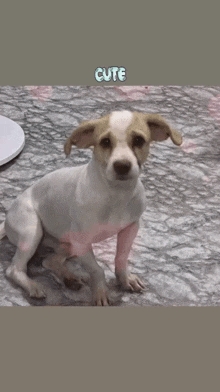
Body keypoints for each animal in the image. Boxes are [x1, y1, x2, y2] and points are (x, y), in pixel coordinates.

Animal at [0, 110, 182, 306]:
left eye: (139, 140)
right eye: (105, 142)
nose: (122, 166)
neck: (115, 193)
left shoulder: (130, 228)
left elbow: (121, 258)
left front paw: (125, 279)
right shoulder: (82, 242)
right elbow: (97, 270)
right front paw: (101, 292)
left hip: (67, 246)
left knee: (49, 261)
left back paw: (68, 278)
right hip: (32, 232)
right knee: (14, 269)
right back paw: (33, 286)